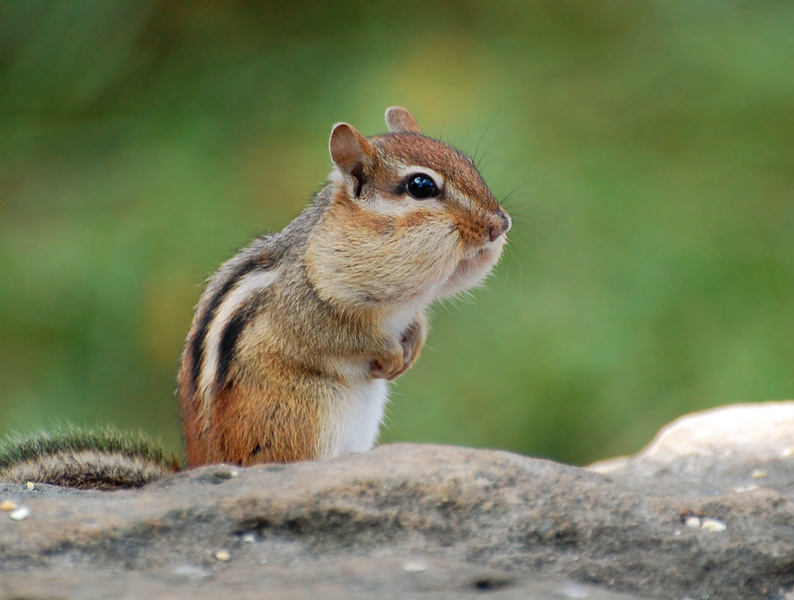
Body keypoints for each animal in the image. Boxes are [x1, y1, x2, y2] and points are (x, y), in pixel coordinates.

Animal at [0, 107, 510, 489]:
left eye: (470, 165)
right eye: (421, 186)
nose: (500, 223)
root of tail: (204, 464)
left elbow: (417, 324)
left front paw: (412, 347)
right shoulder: (307, 308)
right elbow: (342, 337)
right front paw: (388, 354)